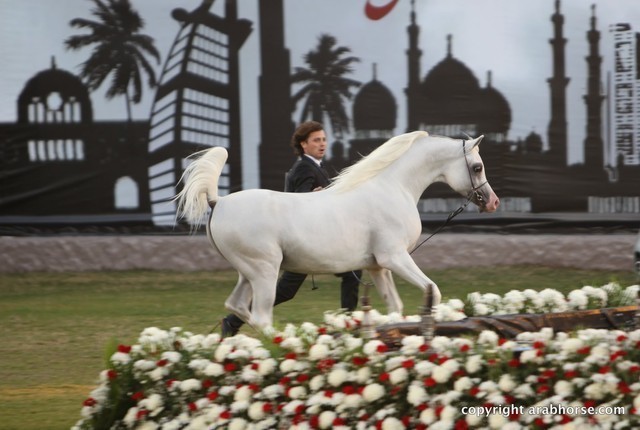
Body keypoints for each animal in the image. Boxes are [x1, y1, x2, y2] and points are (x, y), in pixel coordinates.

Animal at [176, 131, 499, 331]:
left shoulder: (378, 266)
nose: (493, 202)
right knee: (260, 316)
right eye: (478, 167)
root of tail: (217, 202)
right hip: (264, 271)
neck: (393, 188)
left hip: (248, 274)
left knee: (238, 306)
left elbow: (394, 306)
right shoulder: (395, 258)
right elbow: (433, 291)